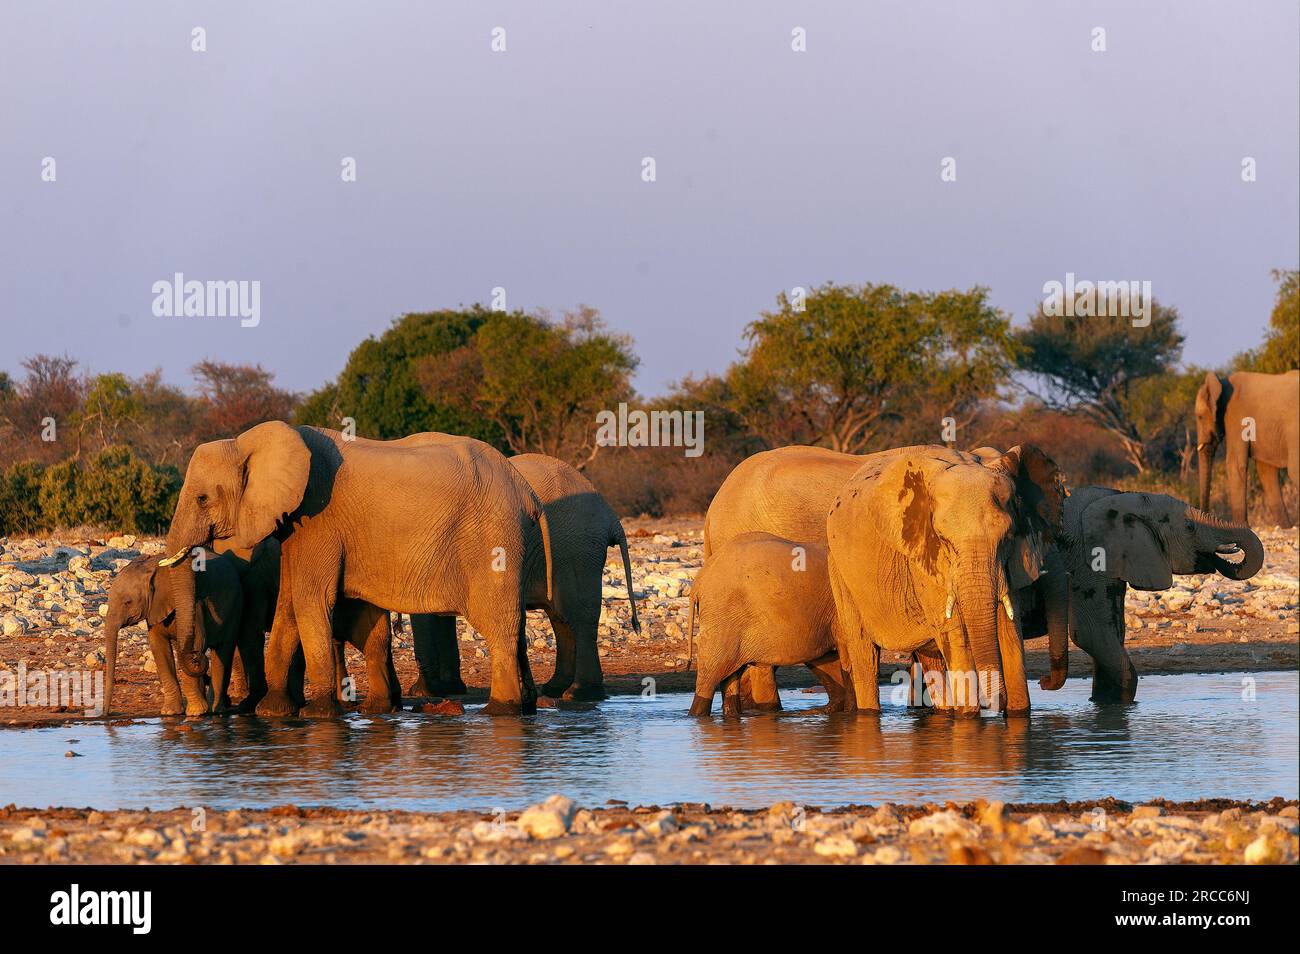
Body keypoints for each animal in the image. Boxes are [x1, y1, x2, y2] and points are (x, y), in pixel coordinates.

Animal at [159, 421, 551, 722]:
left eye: (202, 499)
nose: (199, 660)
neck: (247, 442)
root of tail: (526, 491)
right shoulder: (296, 526)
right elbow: (289, 603)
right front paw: (272, 713)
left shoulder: (319, 518)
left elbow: (310, 599)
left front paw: (317, 714)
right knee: (514, 627)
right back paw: (525, 707)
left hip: (493, 542)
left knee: (498, 625)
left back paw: (500, 711)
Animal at [405, 452, 639, 707]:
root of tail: (610, 515)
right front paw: (449, 689)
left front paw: (422, 692)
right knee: (561, 618)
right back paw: (556, 689)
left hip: (577, 550)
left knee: (577, 617)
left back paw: (579, 694)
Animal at [1196, 369, 1300, 530]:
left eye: (1200, 417)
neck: (1221, 382)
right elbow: (1266, 470)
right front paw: (1286, 527)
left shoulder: (1235, 416)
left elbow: (1235, 464)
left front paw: (1240, 527)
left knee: (1294, 470)